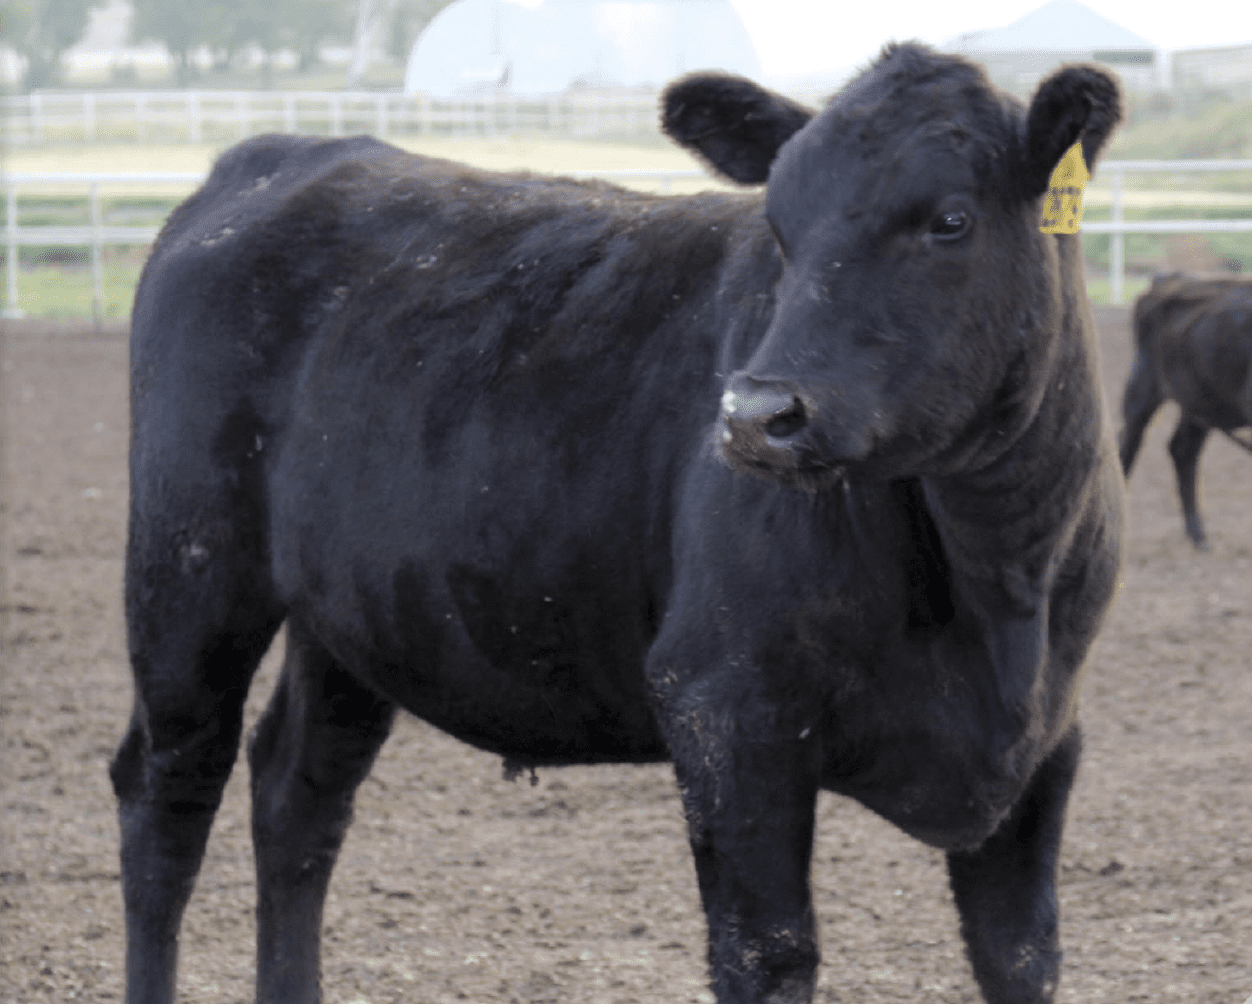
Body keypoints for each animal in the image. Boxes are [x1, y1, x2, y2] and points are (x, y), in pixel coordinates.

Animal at [110, 45, 1126, 1001]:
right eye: (780, 225)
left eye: (950, 220)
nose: (755, 413)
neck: (999, 584)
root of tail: (284, 153)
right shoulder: (723, 706)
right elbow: (766, 954)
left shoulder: (1047, 743)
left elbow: (1020, 954)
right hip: (188, 574)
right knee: (167, 796)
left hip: (350, 621)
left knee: (298, 799)